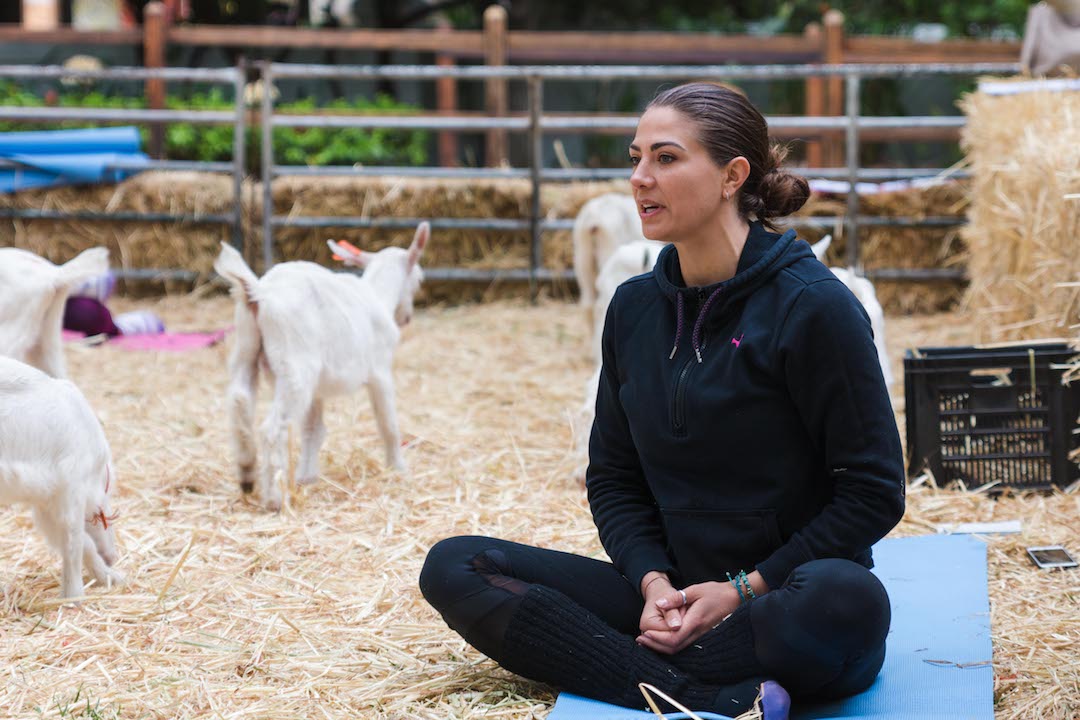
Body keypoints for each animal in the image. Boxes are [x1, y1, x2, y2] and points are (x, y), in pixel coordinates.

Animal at [0, 358, 123, 600]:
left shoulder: (47, 501)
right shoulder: (72, 487)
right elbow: (74, 542)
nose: (111, 557)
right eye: (102, 516)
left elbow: (80, 542)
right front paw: (74, 597)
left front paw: (110, 577)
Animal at [212, 222, 427, 509]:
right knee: (271, 430)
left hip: (246, 349)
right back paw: (274, 498)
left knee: (239, 400)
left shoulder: (317, 391)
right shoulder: (380, 371)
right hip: (295, 369)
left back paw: (246, 475)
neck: (378, 295)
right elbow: (388, 424)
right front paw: (398, 468)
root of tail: (259, 293)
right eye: (419, 279)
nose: (406, 318)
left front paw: (307, 476)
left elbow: (312, 431)